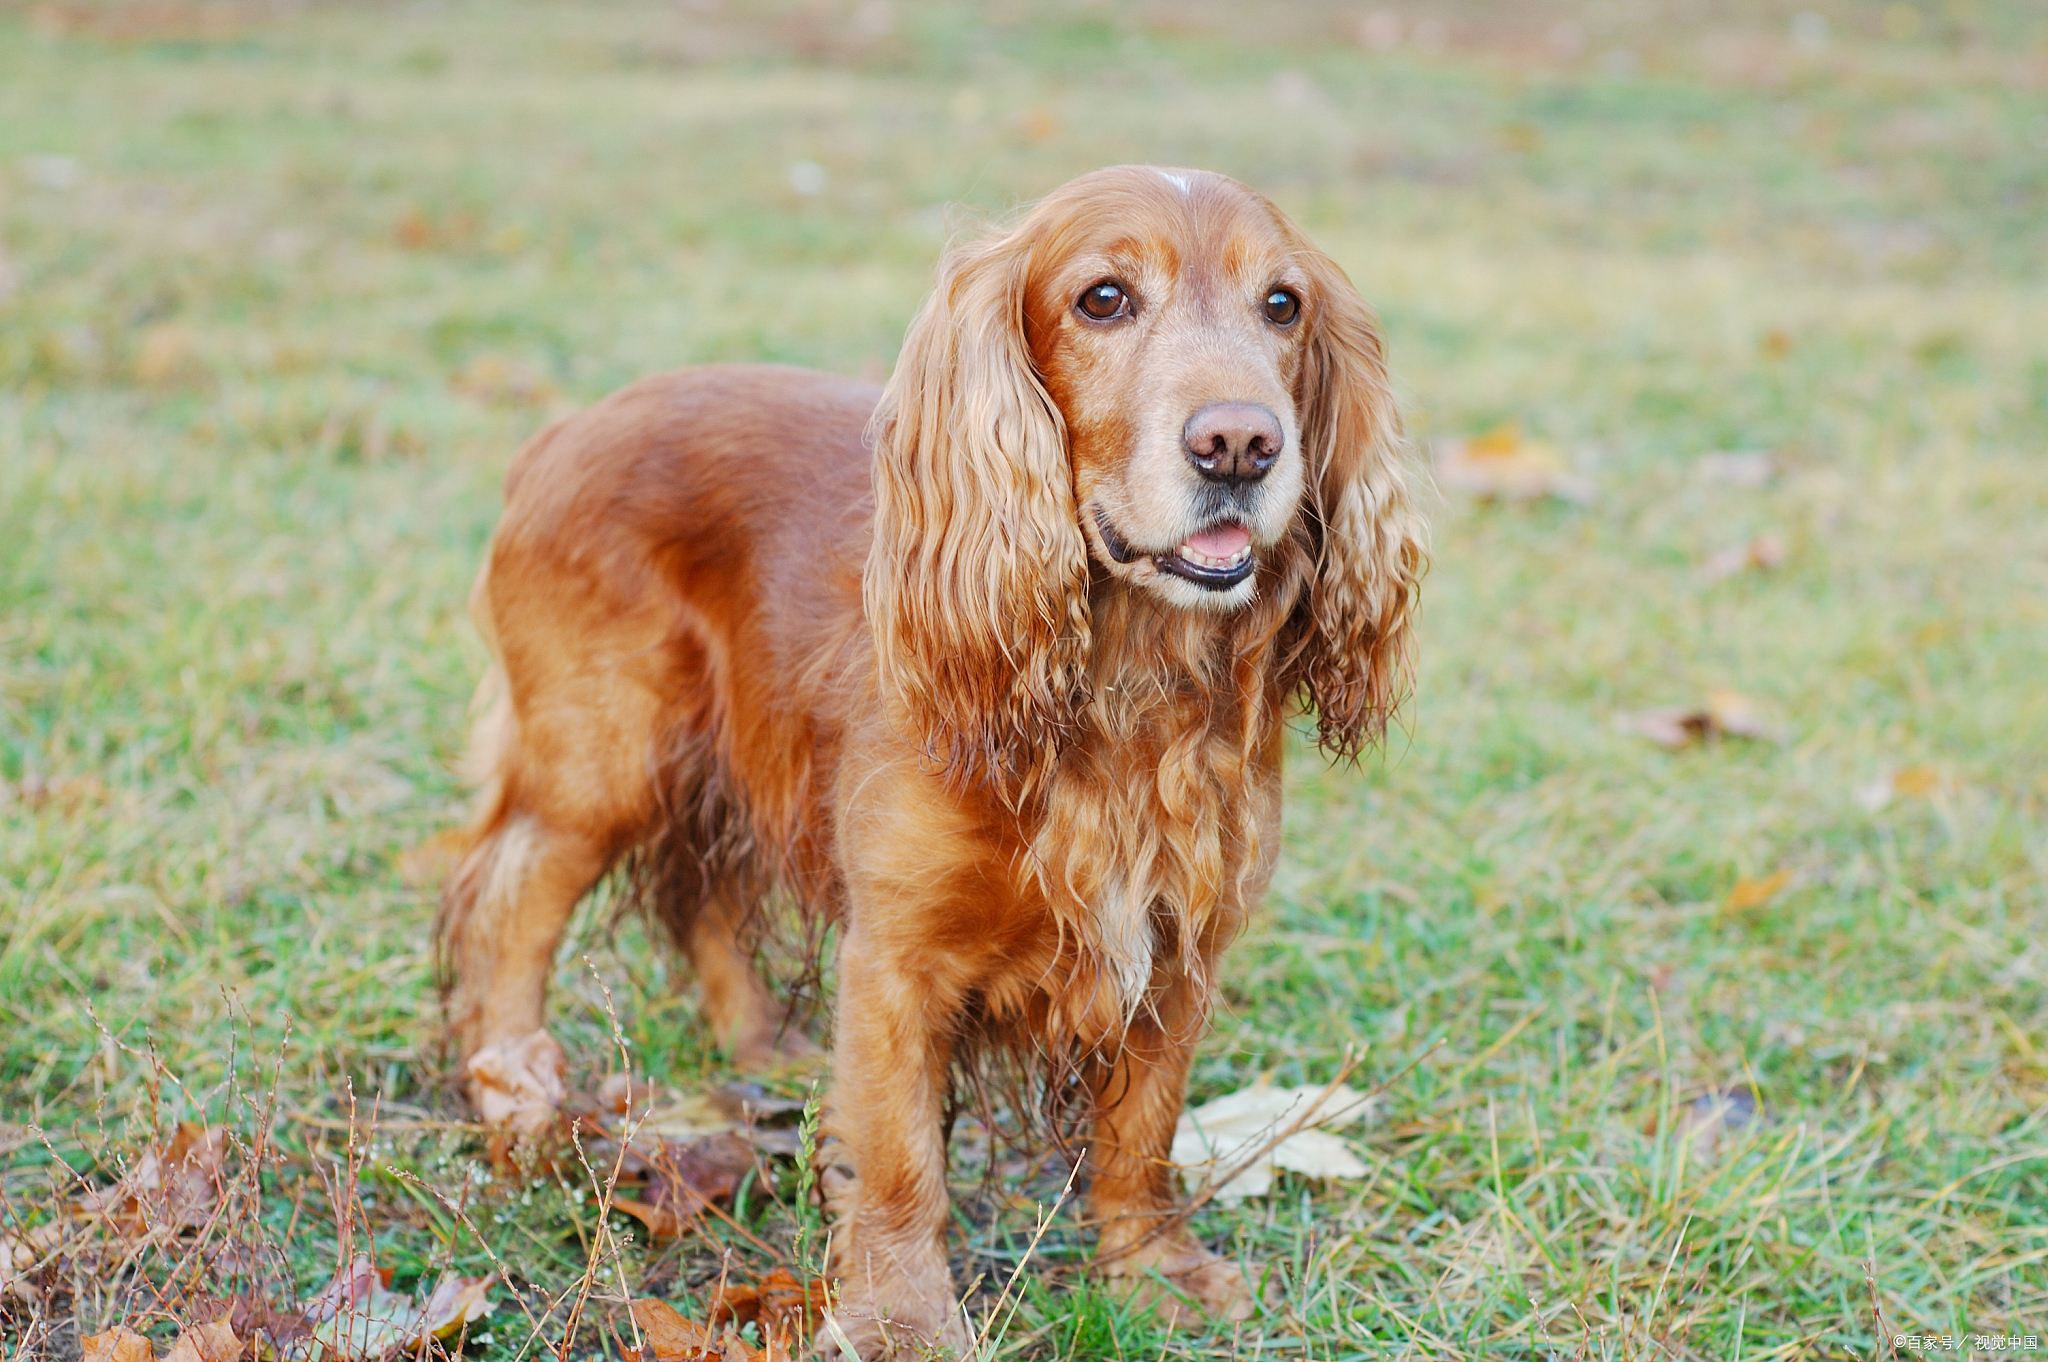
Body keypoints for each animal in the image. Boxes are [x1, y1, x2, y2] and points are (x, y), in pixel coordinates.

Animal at [432, 164, 1425, 1351]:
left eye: (1282, 305)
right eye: (1102, 299)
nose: (1240, 444)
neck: (1124, 687)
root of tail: (559, 434)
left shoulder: (1180, 949)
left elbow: (1142, 1132)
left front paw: (1153, 1271)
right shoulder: (898, 957)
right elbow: (902, 1160)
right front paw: (903, 1321)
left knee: (701, 894)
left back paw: (765, 1045)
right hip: (603, 762)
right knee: (511, 908)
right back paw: (521, 1104)